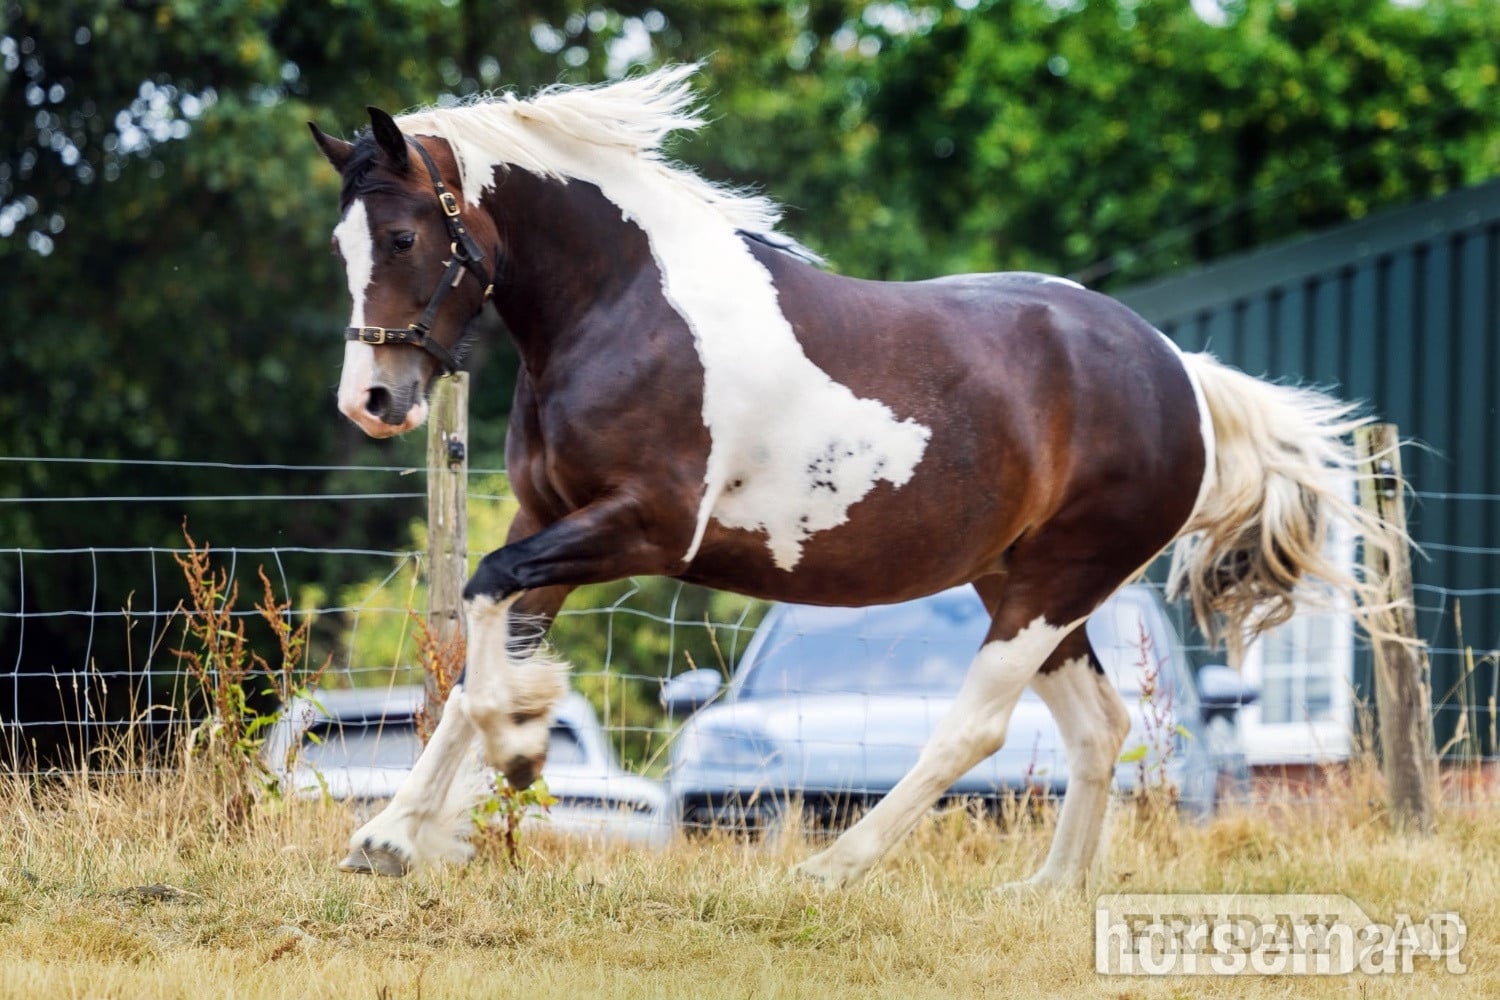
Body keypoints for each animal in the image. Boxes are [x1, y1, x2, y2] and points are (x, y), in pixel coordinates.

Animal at [307, 65, 1395, 889]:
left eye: (403, 237)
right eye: (342, 248)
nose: (371, 399)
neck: (625, 308)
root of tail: (1181, 374)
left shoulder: (644, 526)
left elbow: (487, 603)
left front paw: (520, 747)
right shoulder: (553, 517)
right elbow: (477, 647)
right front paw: (392, 835)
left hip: (1055, 585)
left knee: (976, 729)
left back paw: (831, 870)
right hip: (1025, 583)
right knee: (1100, 726)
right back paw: (1047, 889)